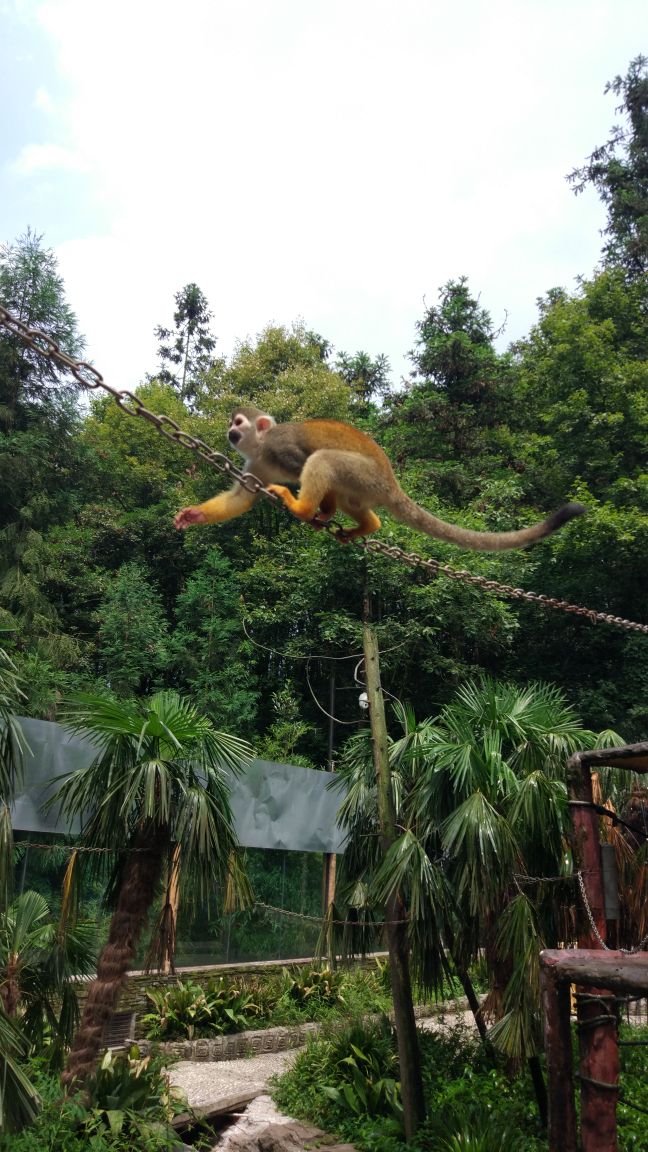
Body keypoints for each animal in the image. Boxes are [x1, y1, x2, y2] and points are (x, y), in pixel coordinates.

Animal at [172, 405, 585, 548]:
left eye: (239, 422)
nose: (230, 432)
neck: (260, 449)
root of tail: (392, 481)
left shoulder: (279, 446)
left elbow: (306, 464)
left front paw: (320, 511)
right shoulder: (254, 466)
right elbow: (243, 498)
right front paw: (193, 515)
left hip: (365, 474)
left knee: (324, 460)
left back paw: (304, 508)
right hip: (367, 486)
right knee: (352, 498)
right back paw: (367, 526)